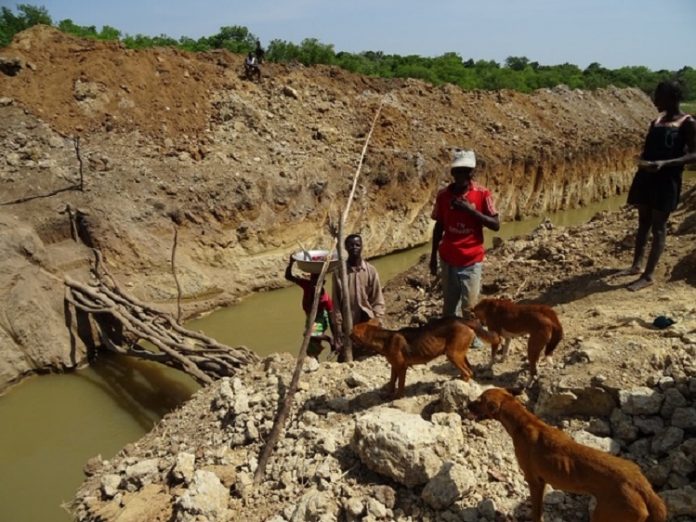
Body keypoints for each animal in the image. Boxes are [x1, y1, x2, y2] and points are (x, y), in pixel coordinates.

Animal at [350, 314, 498, 396]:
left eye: (352, 333)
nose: (346, 335)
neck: (384, 339)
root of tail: (463, 320)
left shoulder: (402, 367)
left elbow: (400, 385)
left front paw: (397, 397)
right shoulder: (394, 366)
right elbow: (392, 381)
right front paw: (388, 393)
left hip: (452, 354)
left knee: (468, 372)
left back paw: (459, 386)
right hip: (459, 352)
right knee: (469, 369)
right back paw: (458, 379)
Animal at [470, 386, 668, 520]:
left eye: (479, 400)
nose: (467, 405)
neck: (524, 421)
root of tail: (642, 486)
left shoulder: (534, 481)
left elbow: (536, 512)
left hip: (604, 515)